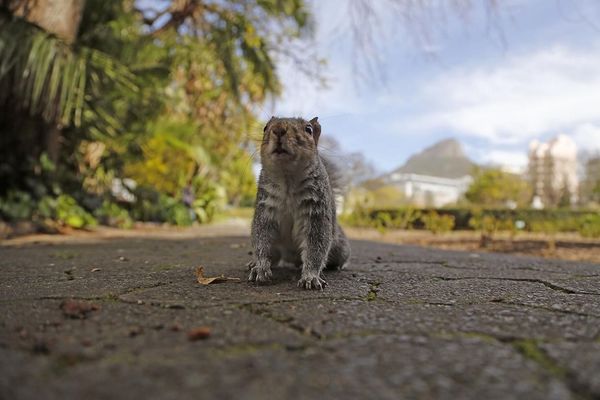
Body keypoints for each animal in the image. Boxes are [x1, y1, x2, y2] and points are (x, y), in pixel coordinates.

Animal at [248, 116, 352, 290]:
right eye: (265, 128)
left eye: (308, 129)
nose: (278, 130)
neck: (287, 178)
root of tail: (292, 258)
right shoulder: (265, 209)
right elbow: (261, 239)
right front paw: (260, 267)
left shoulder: (316, 213)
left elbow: (316, 247)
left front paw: (310, 277)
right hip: (277, 248)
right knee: (274, 255)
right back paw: (254, 263)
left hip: (339, 247)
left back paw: (337, 266)